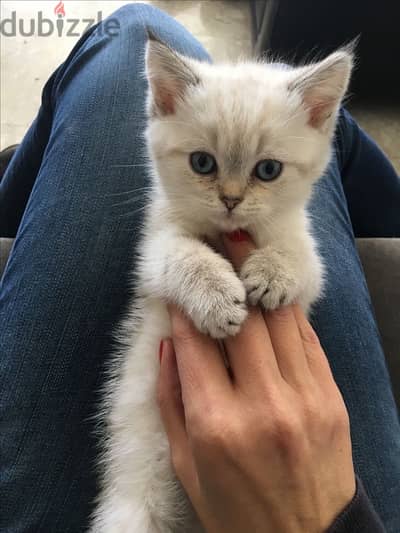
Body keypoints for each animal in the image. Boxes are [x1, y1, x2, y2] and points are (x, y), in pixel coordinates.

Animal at [91, 34, 354, 532]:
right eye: (202, 163)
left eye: (268, 170)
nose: (231, 200)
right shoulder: (154, 248)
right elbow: (183, 255)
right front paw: (216, 298)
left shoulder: (309, 254)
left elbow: (299, 261)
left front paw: (270, 275)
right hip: (136, 493)